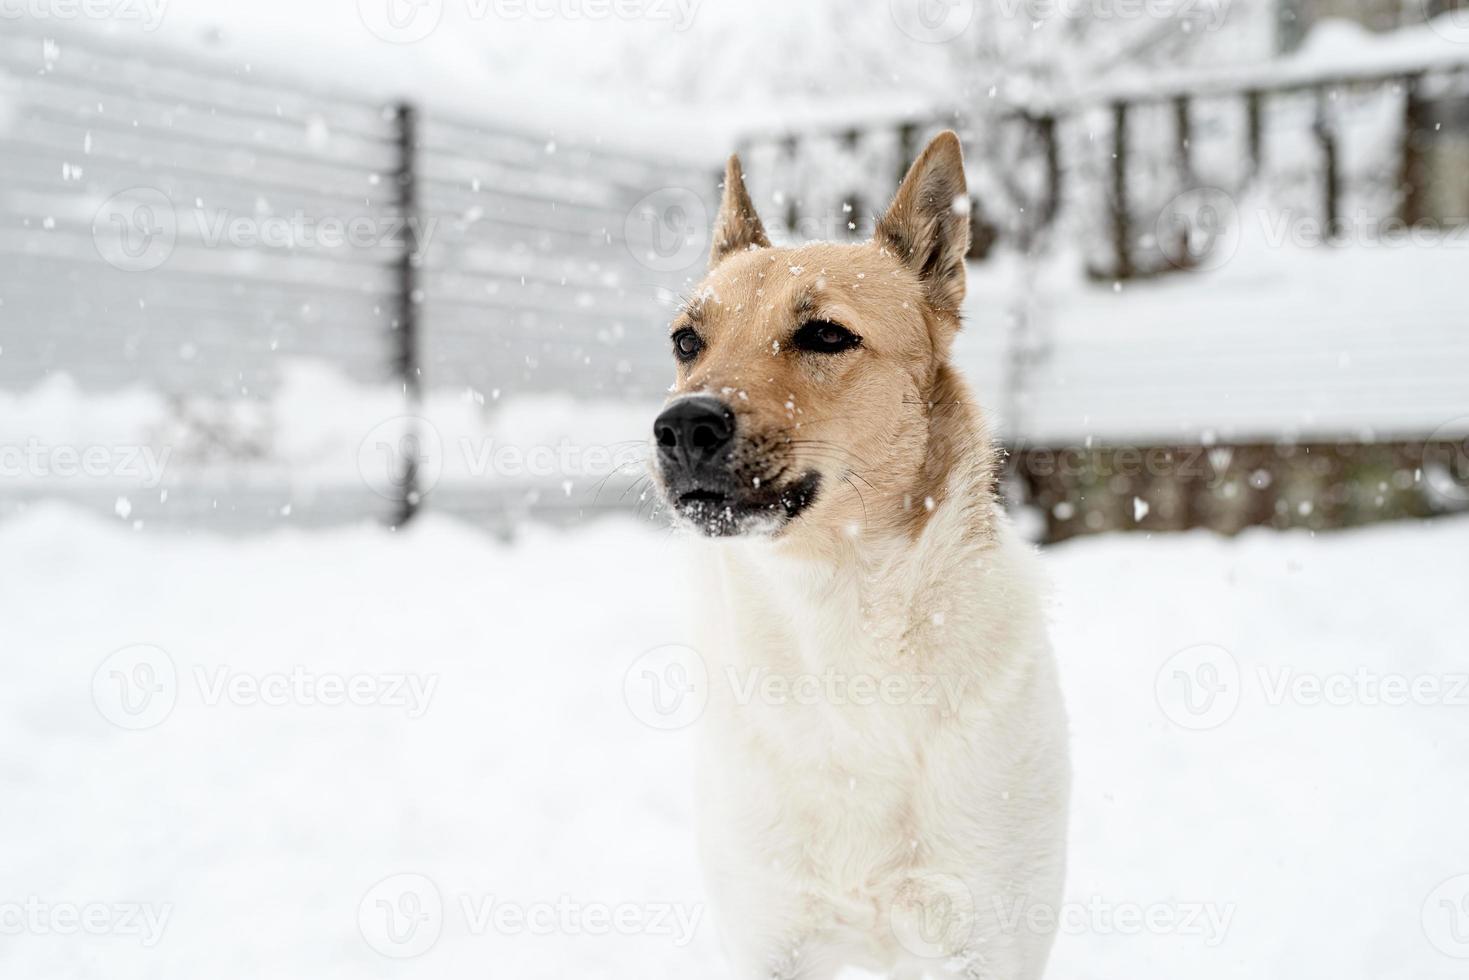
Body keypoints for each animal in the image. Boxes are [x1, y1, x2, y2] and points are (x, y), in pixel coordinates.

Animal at [652, 132, 1069, 980]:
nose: (679, 426)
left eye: (824, 335)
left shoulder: (990, 939)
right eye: (686, 341)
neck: (836, 614)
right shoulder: (764, 937)